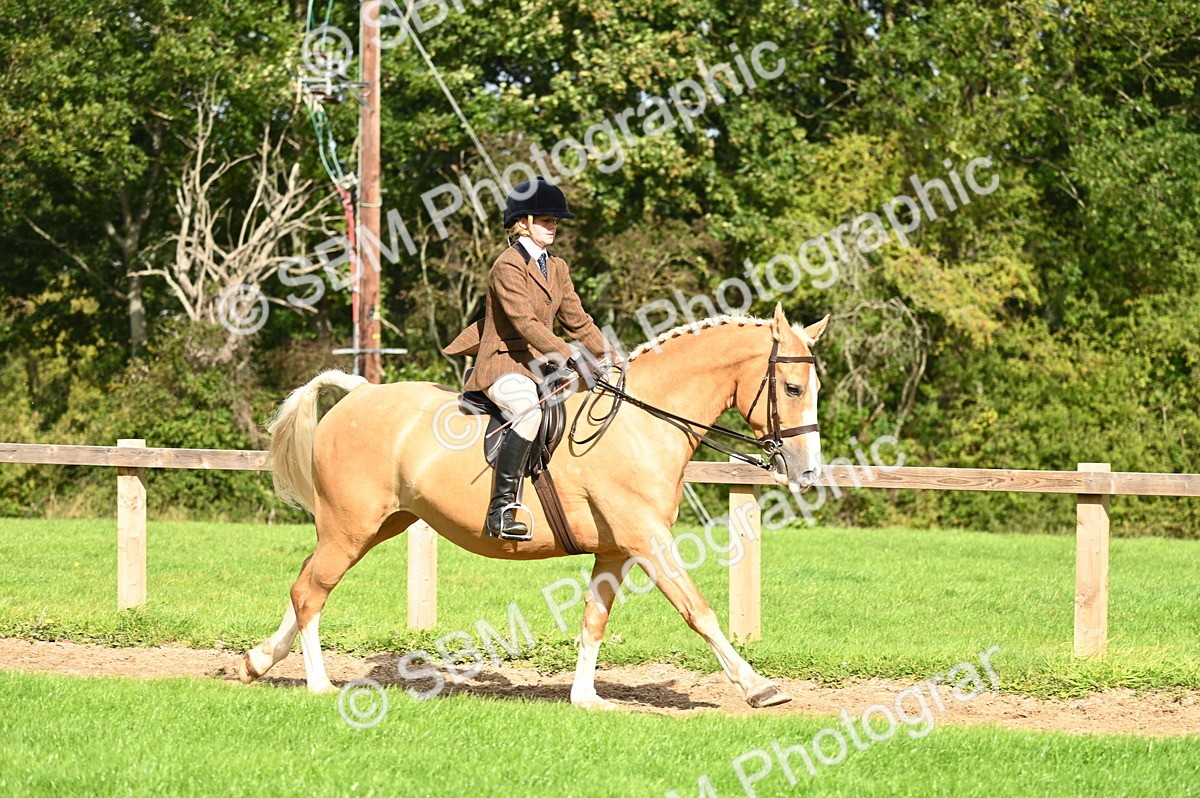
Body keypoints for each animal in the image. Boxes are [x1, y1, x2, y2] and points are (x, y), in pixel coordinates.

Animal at [238, 304, 828, 710]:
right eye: (792, 388)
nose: (806, 472)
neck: (642, 421)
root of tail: (358, 391)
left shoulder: (617, 550)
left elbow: (594, 619)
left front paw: (586, 699)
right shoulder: (647, 539)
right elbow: (698, 609)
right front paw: (759, 687)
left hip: (382, 523)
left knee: (307, 586)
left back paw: (258, 661)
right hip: (351, 526)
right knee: (310, 591)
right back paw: (317, 685)